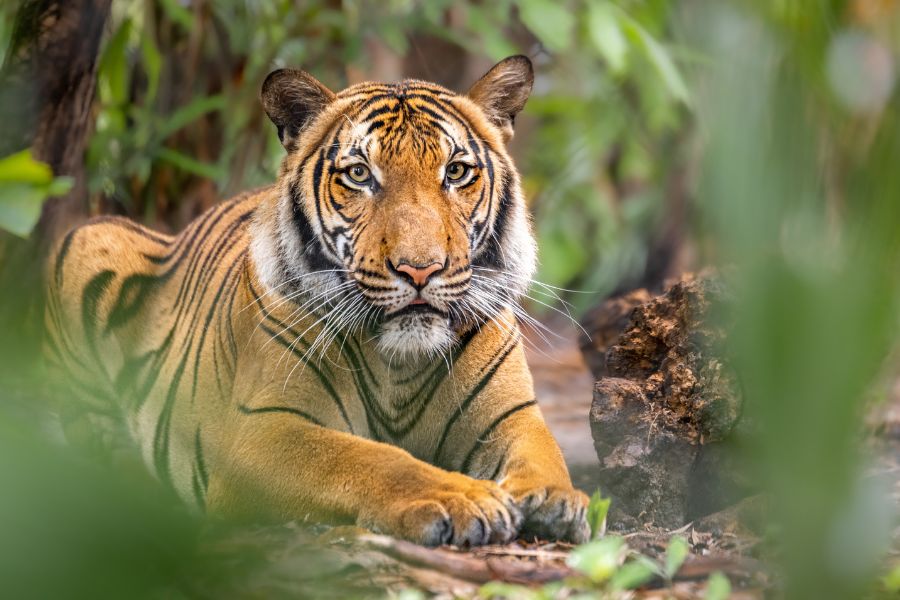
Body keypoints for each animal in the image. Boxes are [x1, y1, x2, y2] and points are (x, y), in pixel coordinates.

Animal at [45, 57, 592, 548]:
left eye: (456, 172)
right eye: (359, 175)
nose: (419, 269)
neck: (400, 365)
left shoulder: (512, 415)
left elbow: (543, 454)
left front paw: (555, 501)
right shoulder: (261, 429)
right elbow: (370, 459)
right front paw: (461, 498)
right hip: (87, 239)